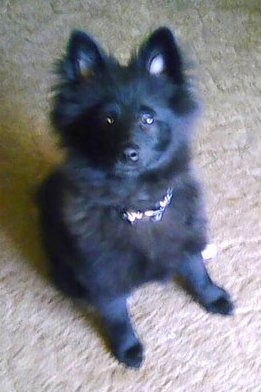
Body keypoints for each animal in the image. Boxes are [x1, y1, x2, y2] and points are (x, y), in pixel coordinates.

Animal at [37, 27, 234, 368]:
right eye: (107, 120)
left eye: (148, 118)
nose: (129, 153)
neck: (139, 205)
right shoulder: (102, 271)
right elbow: (116, 313)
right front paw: (127, 347)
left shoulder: (185, 237)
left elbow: (197, 270)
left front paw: (213, 297)